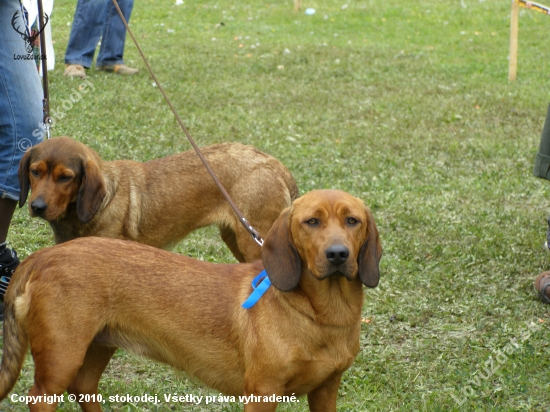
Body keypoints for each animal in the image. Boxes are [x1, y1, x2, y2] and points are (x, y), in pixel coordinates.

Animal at [0, 190, 384, 412]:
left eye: (353, 220)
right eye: (311, 222)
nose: (338, 254)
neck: (321, 316)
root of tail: (43, 256)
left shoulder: (326, 390)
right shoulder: (263, 393)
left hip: (97, 345)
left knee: (84, 388)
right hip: (61, 359)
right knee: (41, 397)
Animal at [18, 137, 298, 262]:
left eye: (65, 177)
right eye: (35, 171)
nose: (37, 207)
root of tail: (274, 163)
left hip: (253, 244)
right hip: (236, 239)